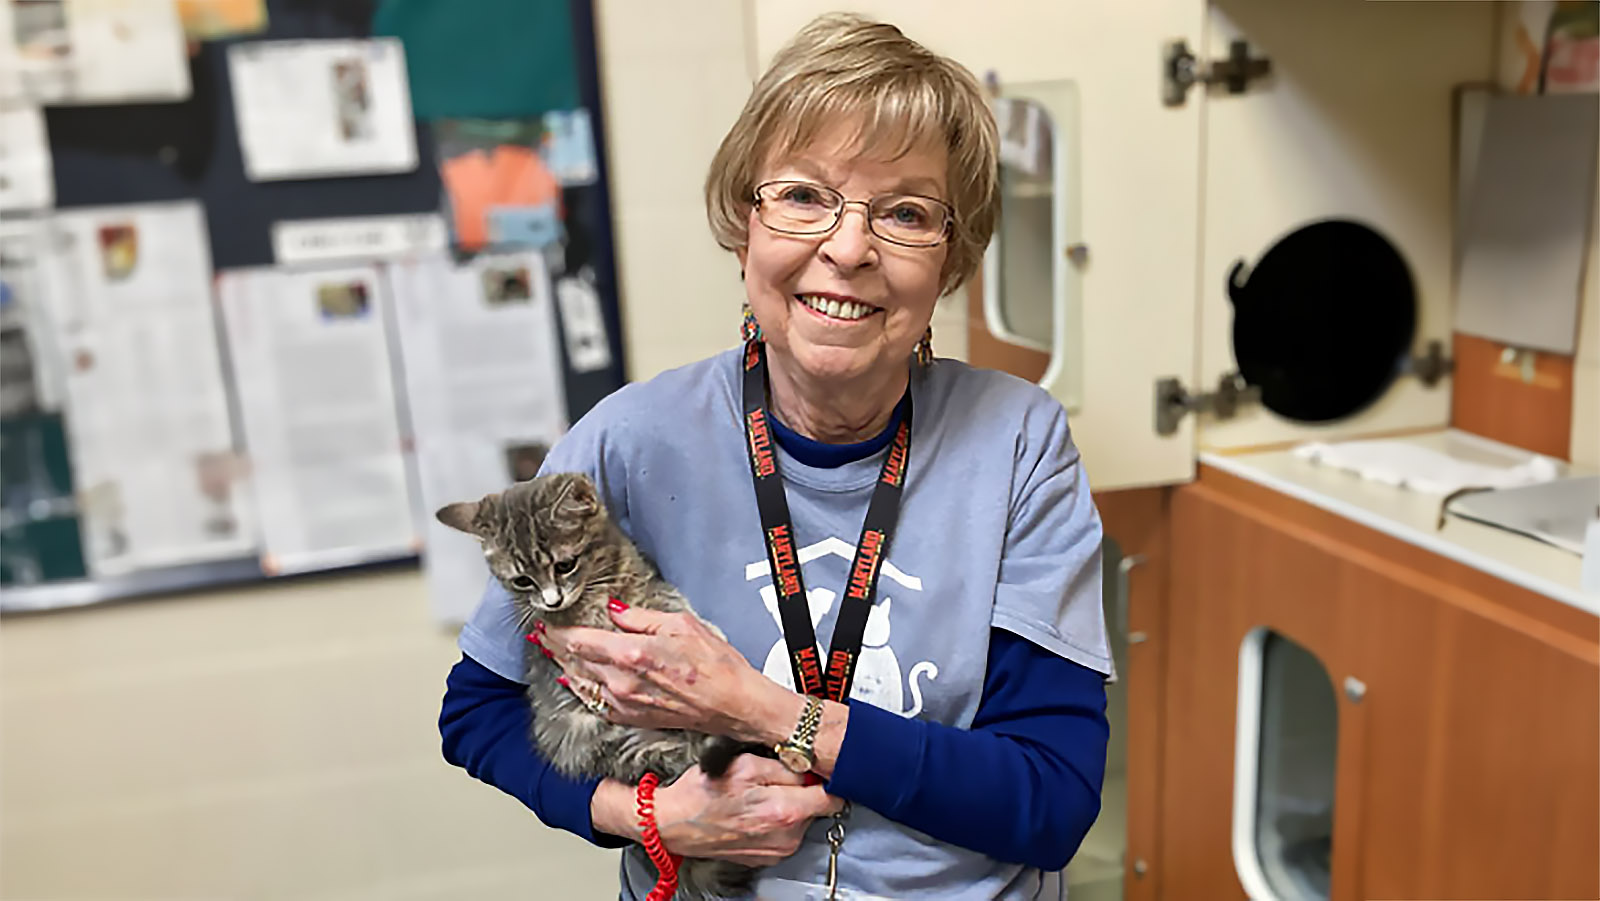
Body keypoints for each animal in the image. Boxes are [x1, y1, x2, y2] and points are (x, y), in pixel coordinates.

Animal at [438, 476, 761, 896]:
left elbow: (669, 603)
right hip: (606, 744)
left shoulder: (647, 588)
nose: (552, 599)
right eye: (522, 580)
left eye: (565, 565)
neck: (593, 593)